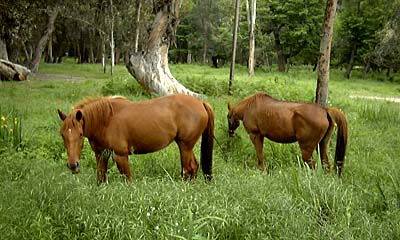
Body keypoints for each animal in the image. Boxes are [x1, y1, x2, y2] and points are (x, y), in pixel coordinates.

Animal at [57, 94, 214, 182]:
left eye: (80, 134)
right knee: (194, 167)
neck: (106, 120)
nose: (73, 165)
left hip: (185, 146)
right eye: (62, 135)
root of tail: (201, 103)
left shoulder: (121, 156)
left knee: (188, 169)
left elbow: (128, 180)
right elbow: (101, 178)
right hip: (186, 146)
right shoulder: (101, 154)